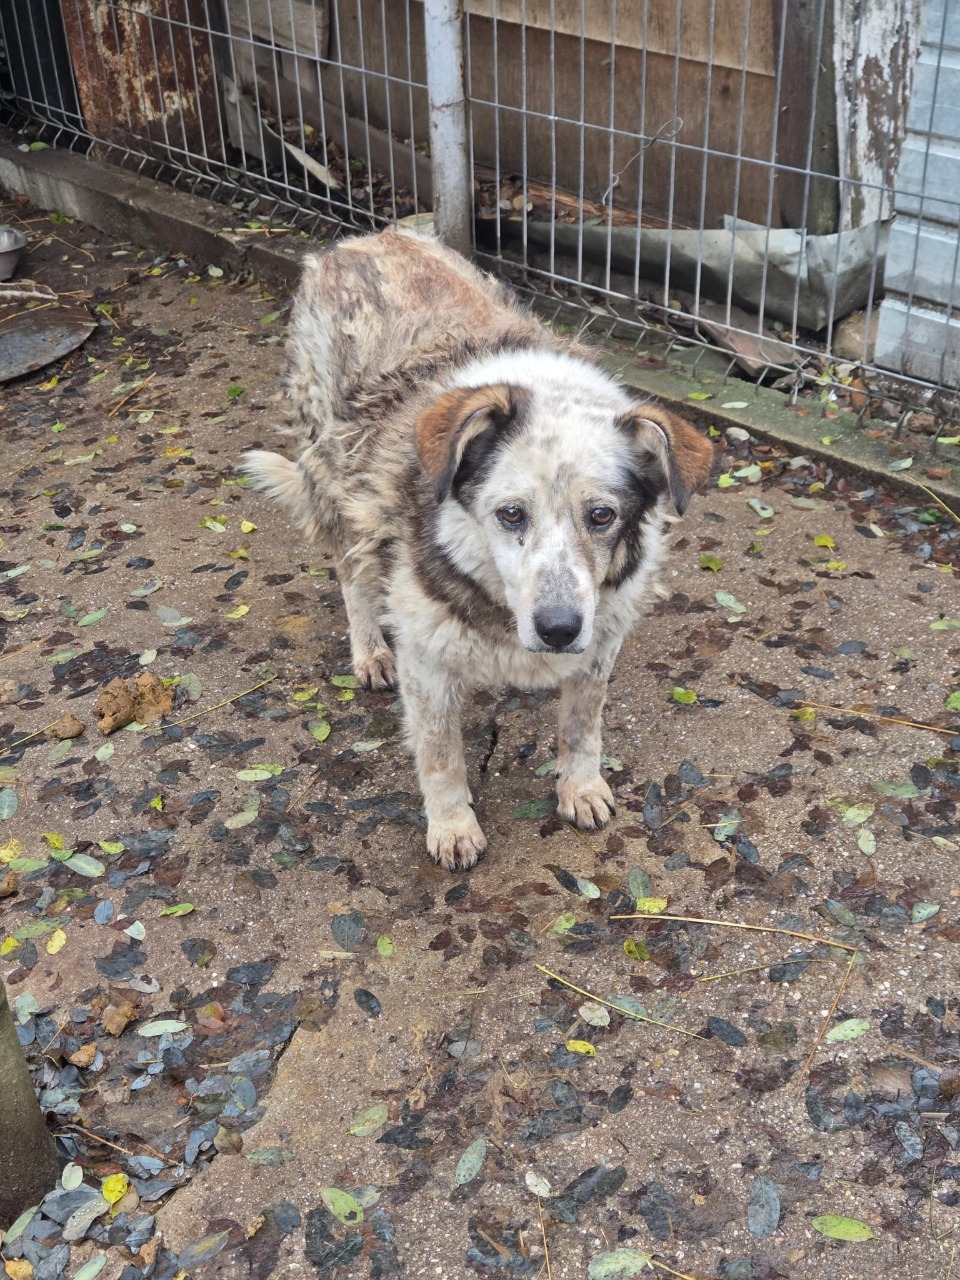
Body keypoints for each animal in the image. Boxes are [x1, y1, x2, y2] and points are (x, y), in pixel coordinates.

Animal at [246, 229, 713, 870]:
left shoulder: (600, 644)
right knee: (351, 571)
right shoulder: (426, 664)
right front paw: (452, 827)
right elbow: (441, 756)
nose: (559, 629)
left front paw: (580, 787)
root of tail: (363, 239)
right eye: (510, 514)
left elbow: (581, 725)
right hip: (338, 479)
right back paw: (368, 649)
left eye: (602, 516)